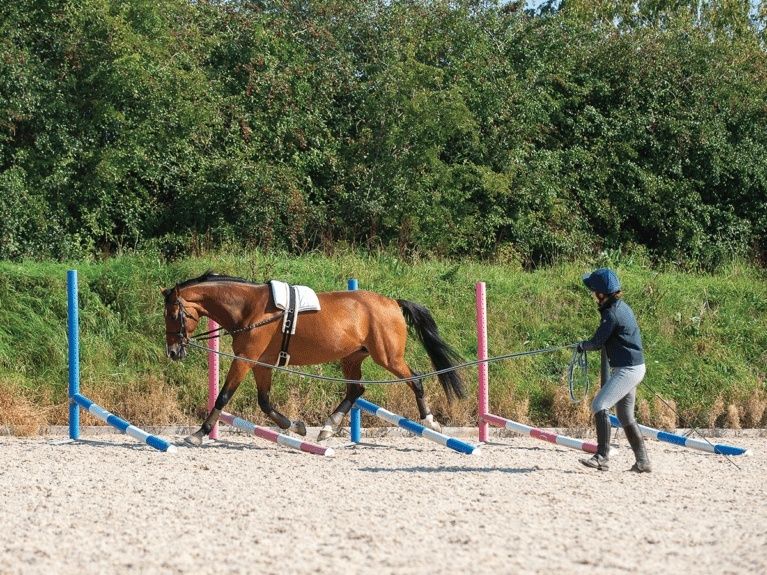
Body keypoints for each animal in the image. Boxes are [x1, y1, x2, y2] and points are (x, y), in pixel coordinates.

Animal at [162, 272, 466, 445]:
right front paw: (295, 427)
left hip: (388, 357)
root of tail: (392, 302)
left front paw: (198, 434)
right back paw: (328, 428)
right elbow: (264, 402)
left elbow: (223, 396)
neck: (249, 309)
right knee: (356, 390)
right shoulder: (261, 363)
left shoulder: (246, 359)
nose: (173, 353)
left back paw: (430, 422)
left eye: (174, 314)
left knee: (415, 380)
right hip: (352, 358)